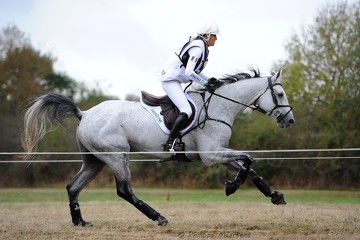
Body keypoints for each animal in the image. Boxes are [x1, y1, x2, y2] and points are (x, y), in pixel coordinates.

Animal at [21, 68, 294, 227]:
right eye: (280, 95)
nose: (290, 121)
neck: (218, 106)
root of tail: (85, 113)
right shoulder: (210, 154)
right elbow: (249, 158)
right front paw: (232, 187)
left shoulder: (218, 152)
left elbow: (249, 166)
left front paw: (275, 196)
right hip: (117, 156)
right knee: (124, 191)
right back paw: (159, 217)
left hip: (94, 160)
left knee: (73, 187)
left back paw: (80, 222)